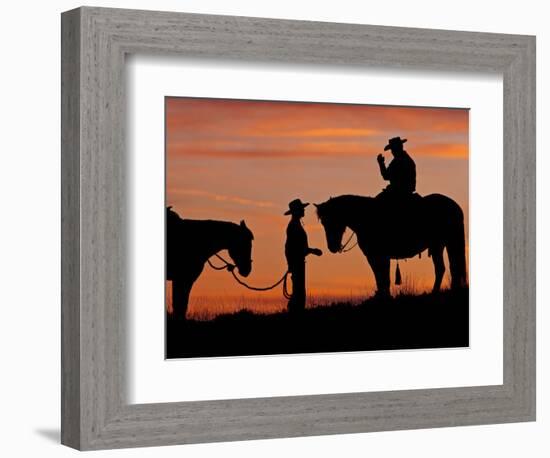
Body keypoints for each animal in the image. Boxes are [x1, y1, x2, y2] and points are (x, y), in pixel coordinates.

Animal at [316, 194, 468, 296]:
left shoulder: (378, 255)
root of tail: (455, 206)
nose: (332, 247)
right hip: (442, 245)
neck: (366, 217)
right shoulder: (375, 256)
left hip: (443, 244)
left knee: (446, 268)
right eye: (323, 222)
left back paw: (436, 291)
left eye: (333, 219)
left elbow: (383, 277)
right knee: (449, 267)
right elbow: (380, 276)